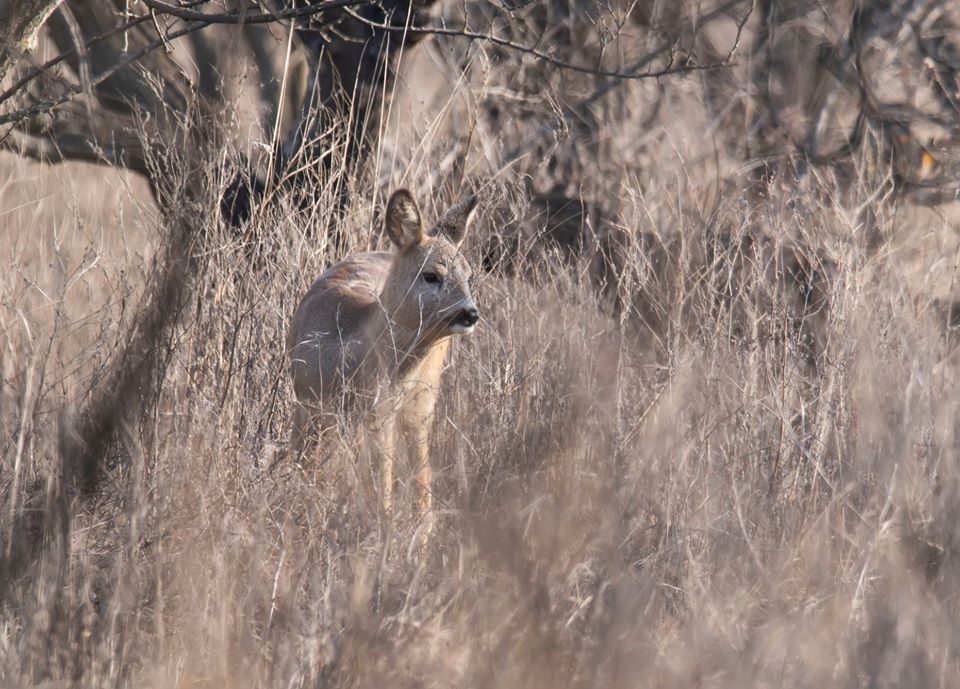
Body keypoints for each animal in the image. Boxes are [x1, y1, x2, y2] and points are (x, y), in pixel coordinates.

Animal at [284, 191, 480, 512]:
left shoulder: (405, 413)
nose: (471, 313)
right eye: (431, 275)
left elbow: (404, 482)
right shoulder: (319, 405)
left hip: (422, 401)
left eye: (469, 276)